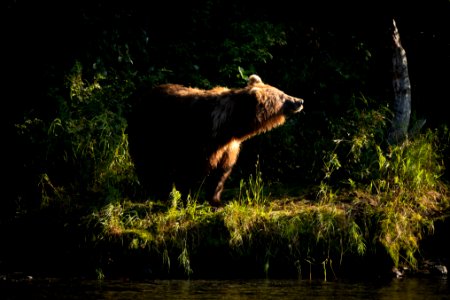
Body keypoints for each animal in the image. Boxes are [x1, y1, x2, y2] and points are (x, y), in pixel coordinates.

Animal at [126, 74, 302, 206]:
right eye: (282, 96)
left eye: (282, 91)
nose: (300, 101)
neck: (228, 127)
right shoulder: (197, 140)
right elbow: (190, 171)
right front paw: (187, 198)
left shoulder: (228, 147)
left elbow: (221, 173)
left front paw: (216, 201)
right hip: (149, 132)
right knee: (150, 163)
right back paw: (156, 191)